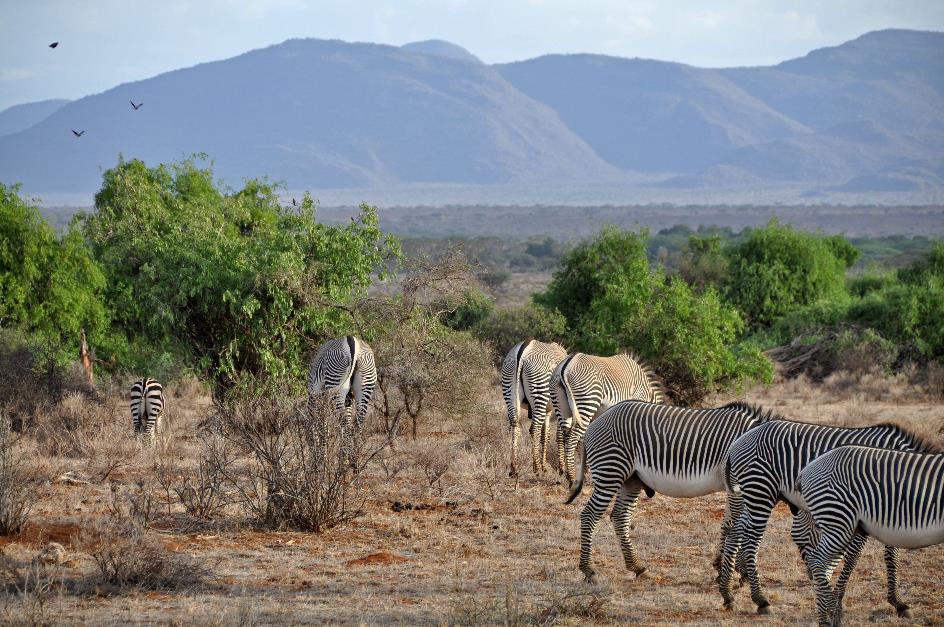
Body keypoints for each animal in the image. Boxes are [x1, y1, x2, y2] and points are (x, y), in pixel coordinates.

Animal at [502, 340, 568, 478]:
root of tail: (523, 349)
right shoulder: (560, 408)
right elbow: (558, 436)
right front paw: (560, 468)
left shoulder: (548, 411)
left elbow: (545, 435)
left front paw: (544, 466)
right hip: (540, 390)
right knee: (534, 429)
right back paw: (536, 468)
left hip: (509, 390)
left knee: (515, 426)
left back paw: (514, 468)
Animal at [548, 354, 668, 486]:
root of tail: (566, 365)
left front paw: (589, 470)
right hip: (586, 404)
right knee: (571, 439)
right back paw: (572, 478)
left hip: (562, 407)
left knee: (561, 435)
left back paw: (562, 470)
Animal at [564, 402, 780, 584]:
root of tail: (598, 419)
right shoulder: (737, 486)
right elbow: (734, 525)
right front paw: (730, 570)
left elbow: (734, 525)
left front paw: (732, 569)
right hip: (610, 472)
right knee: (590, 516)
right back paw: (588, 570)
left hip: (631, 480)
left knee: (619, 517)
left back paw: (637, 567)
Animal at [716, 420, 936, 616]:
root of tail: (736, 443)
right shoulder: (865, 512)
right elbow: (853, 557)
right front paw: (837, 600)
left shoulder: (888, 515)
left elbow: (892, 556)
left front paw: (897, 602)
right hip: (761, 492)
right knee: (752, 540)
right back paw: (760, 600)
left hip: (757, 496)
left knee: (736, 529)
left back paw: (727, 593)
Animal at [796, 446, 944, 627]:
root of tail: (806, 469)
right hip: (838, 520)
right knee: (818, 562)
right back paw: (830, 617)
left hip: (844, 526)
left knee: (823, 566)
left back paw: (826, 617)